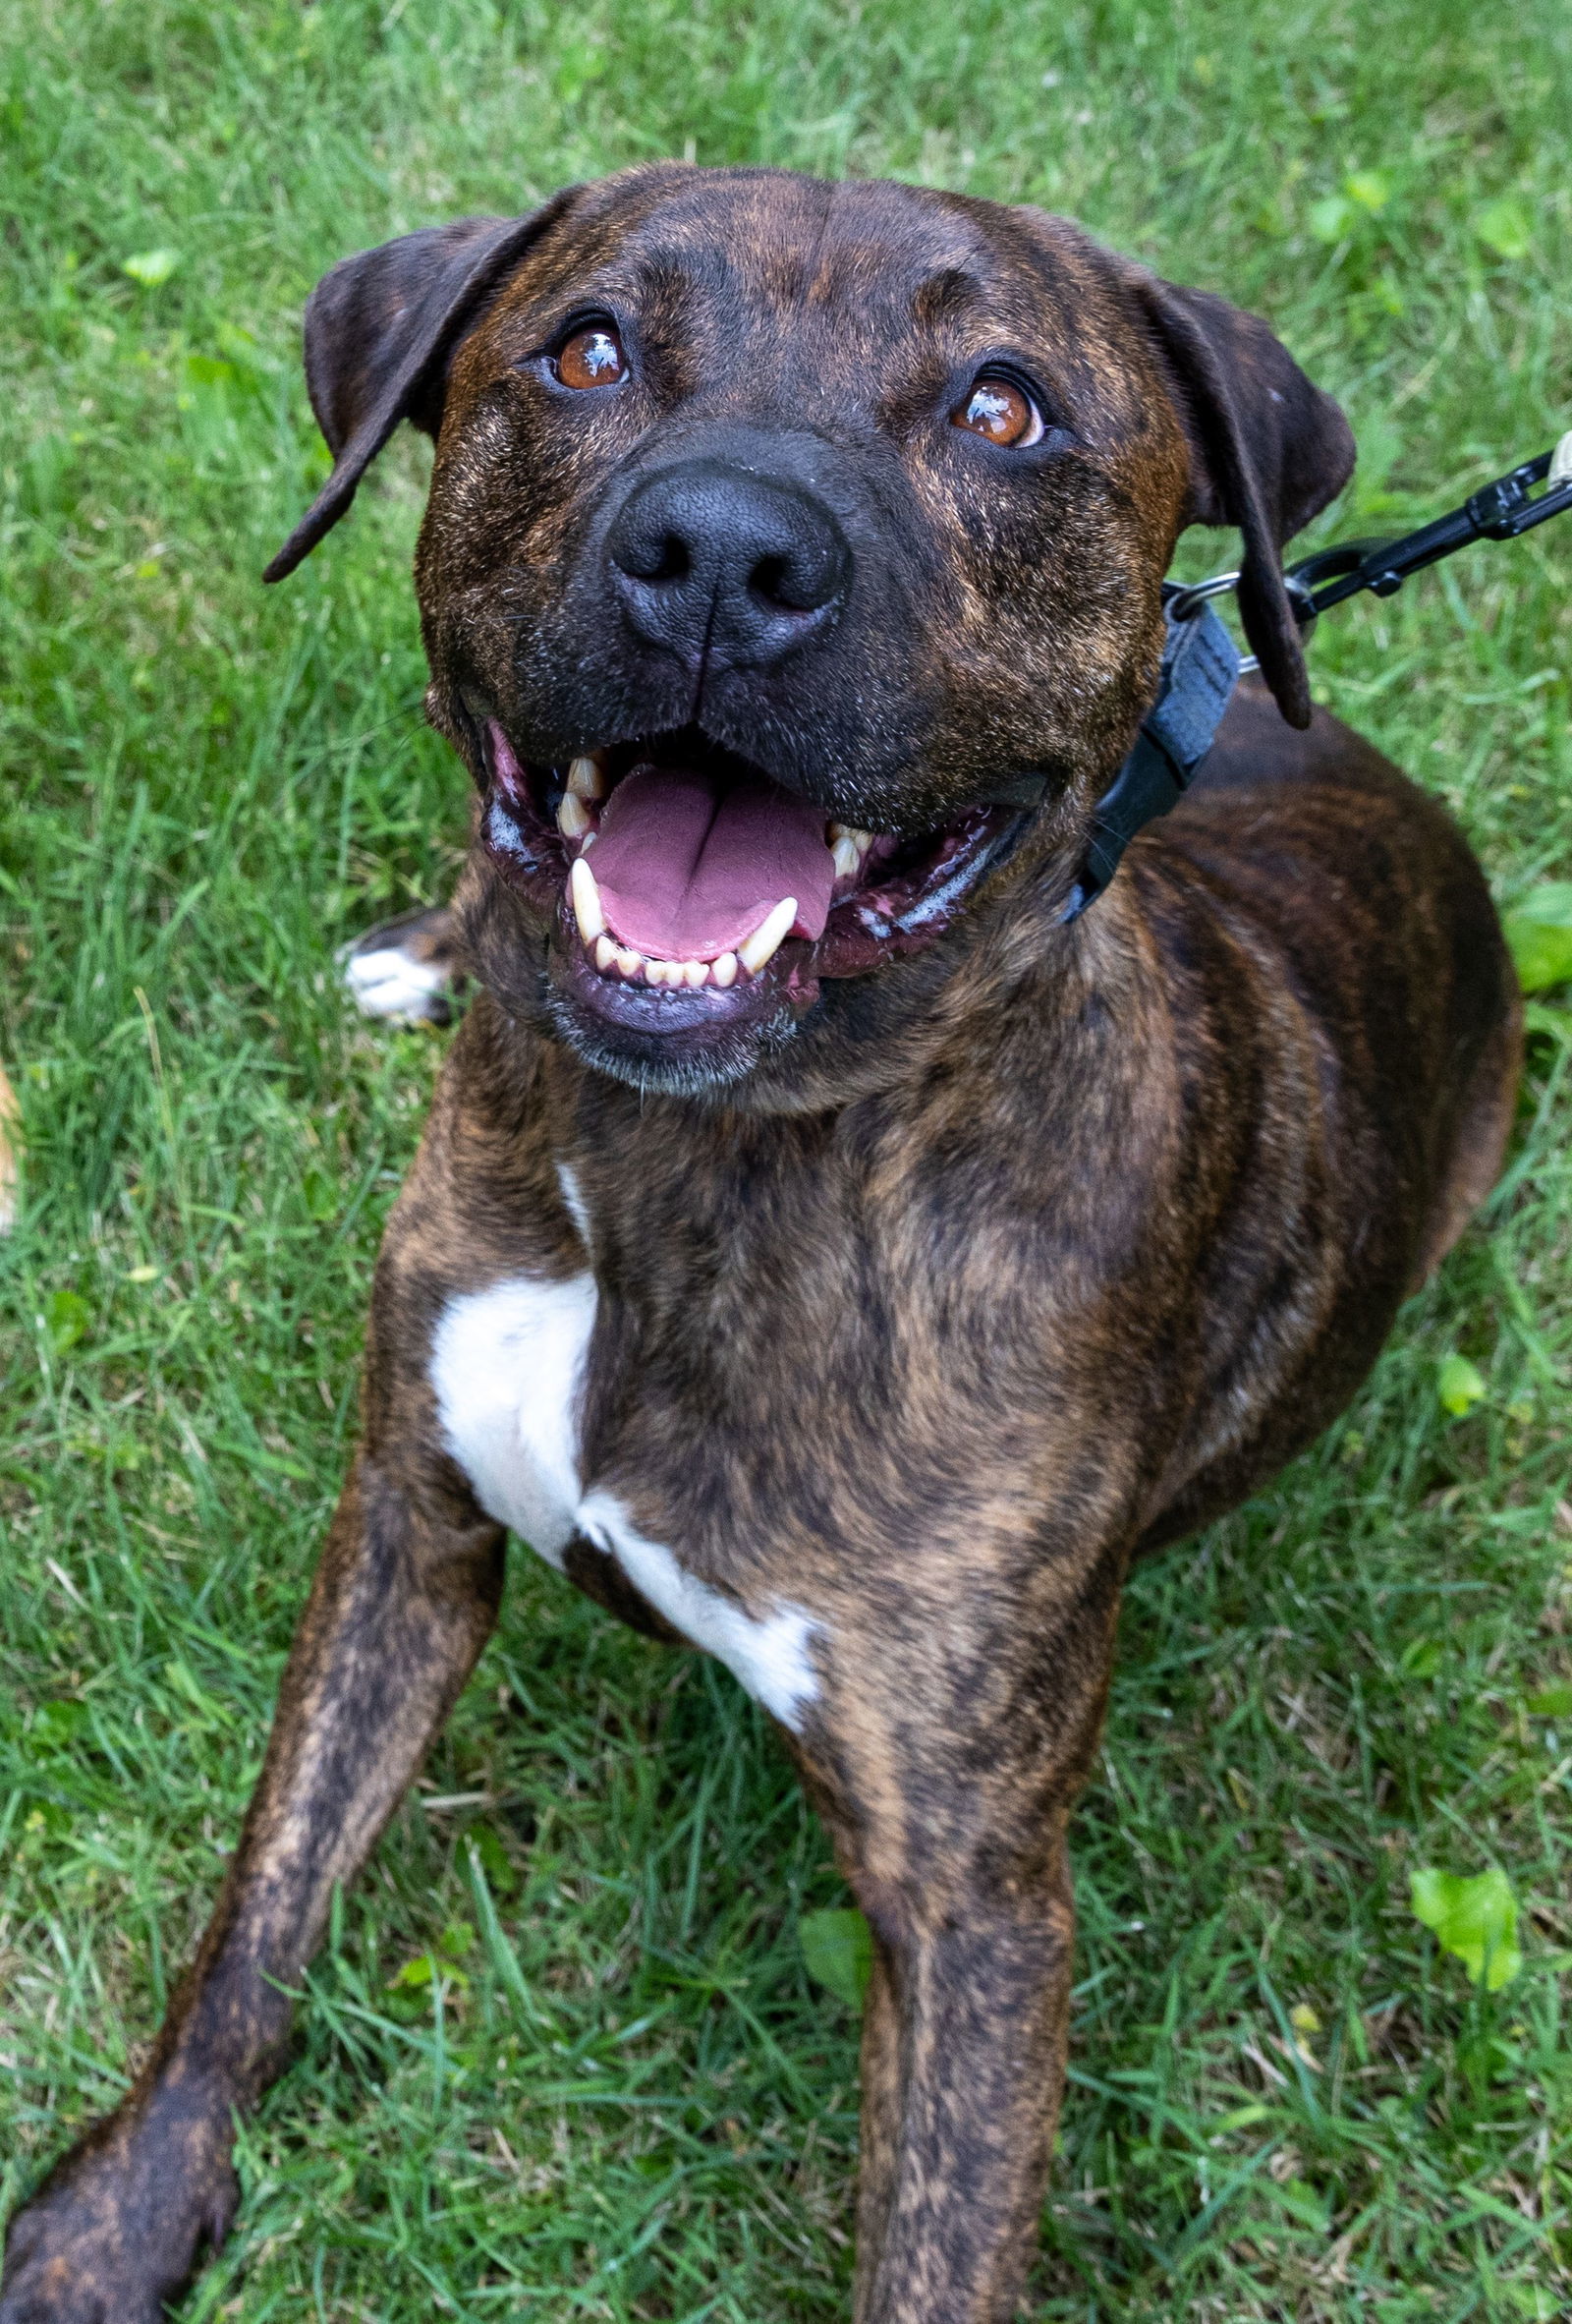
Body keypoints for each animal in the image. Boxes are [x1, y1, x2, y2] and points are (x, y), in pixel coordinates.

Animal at [3, 163, 1523, 2324]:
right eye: (583, 351)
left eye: (1002, 409)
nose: (721, 551)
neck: (695, 1172)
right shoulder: (401, 1530)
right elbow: (259, 1912)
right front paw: (120, 2213)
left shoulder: (977, 1907)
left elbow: (934, 2245)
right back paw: (432, 942)